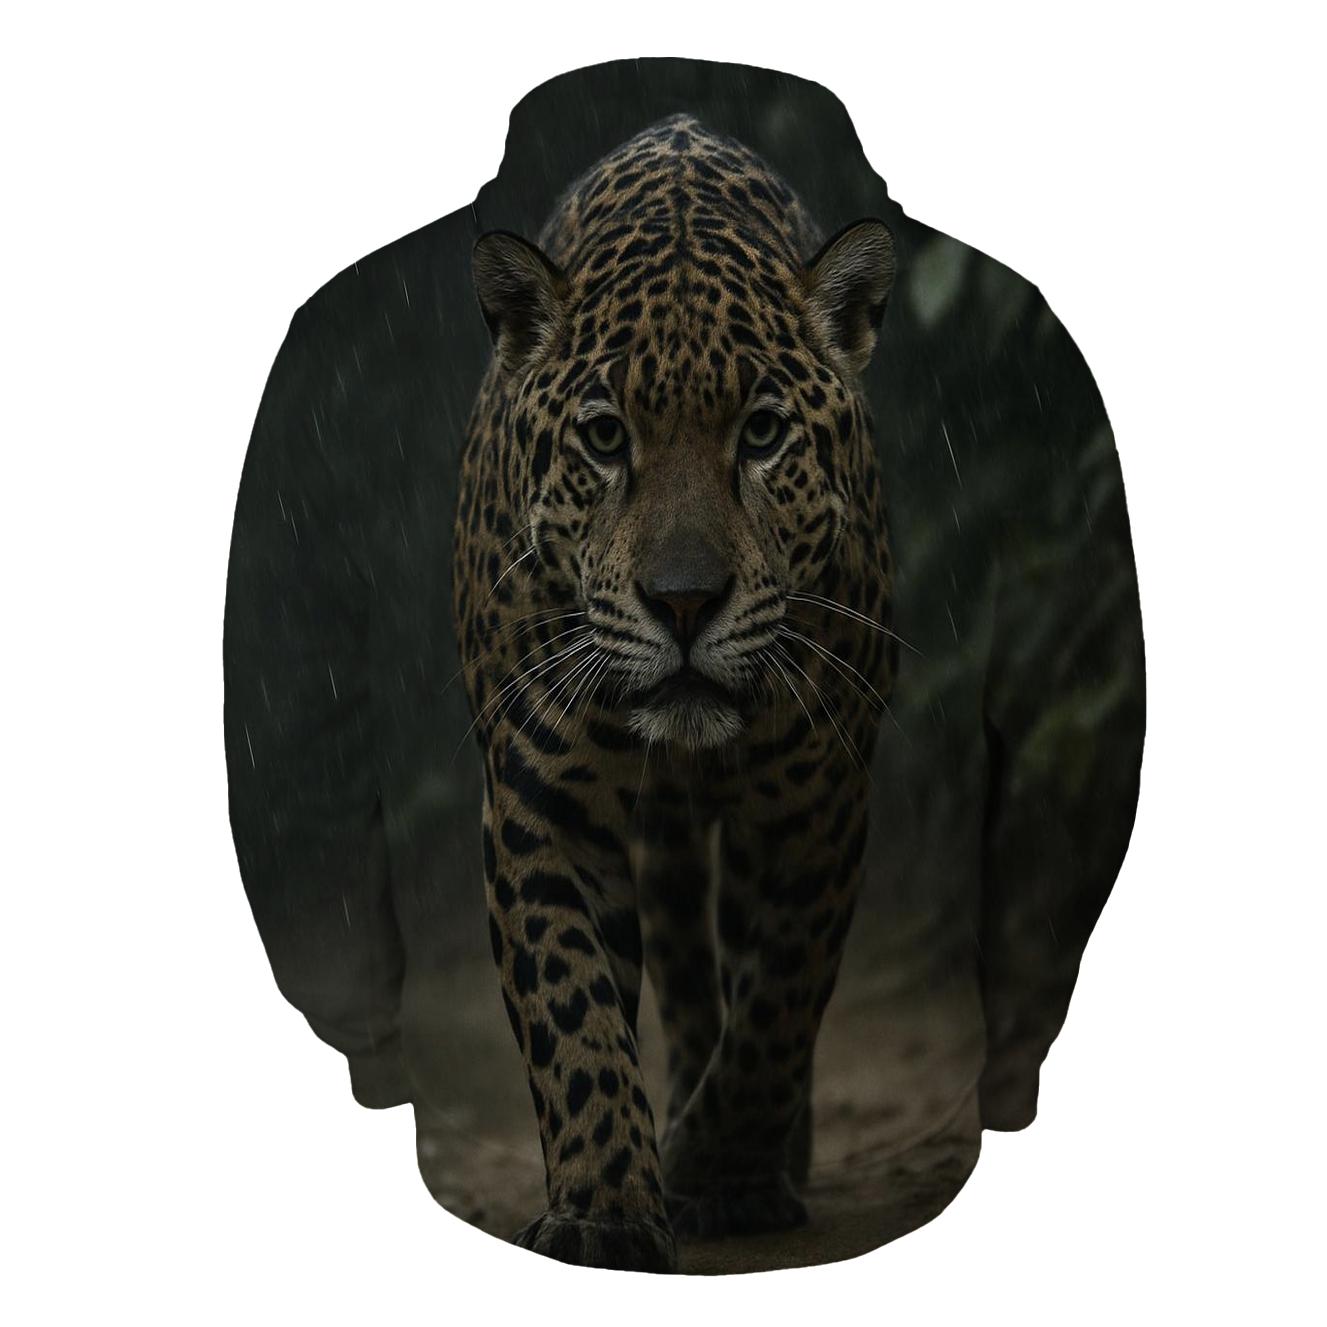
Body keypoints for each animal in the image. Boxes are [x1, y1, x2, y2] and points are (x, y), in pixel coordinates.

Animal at [451, 113, 898, 1272]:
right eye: (606, 437)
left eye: (763, 433)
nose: (685, 603)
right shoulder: (541, 793)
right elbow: (572, 1006)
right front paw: (605, 1208)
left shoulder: (820, 795)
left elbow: (780, 997)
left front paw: (719, 1166)